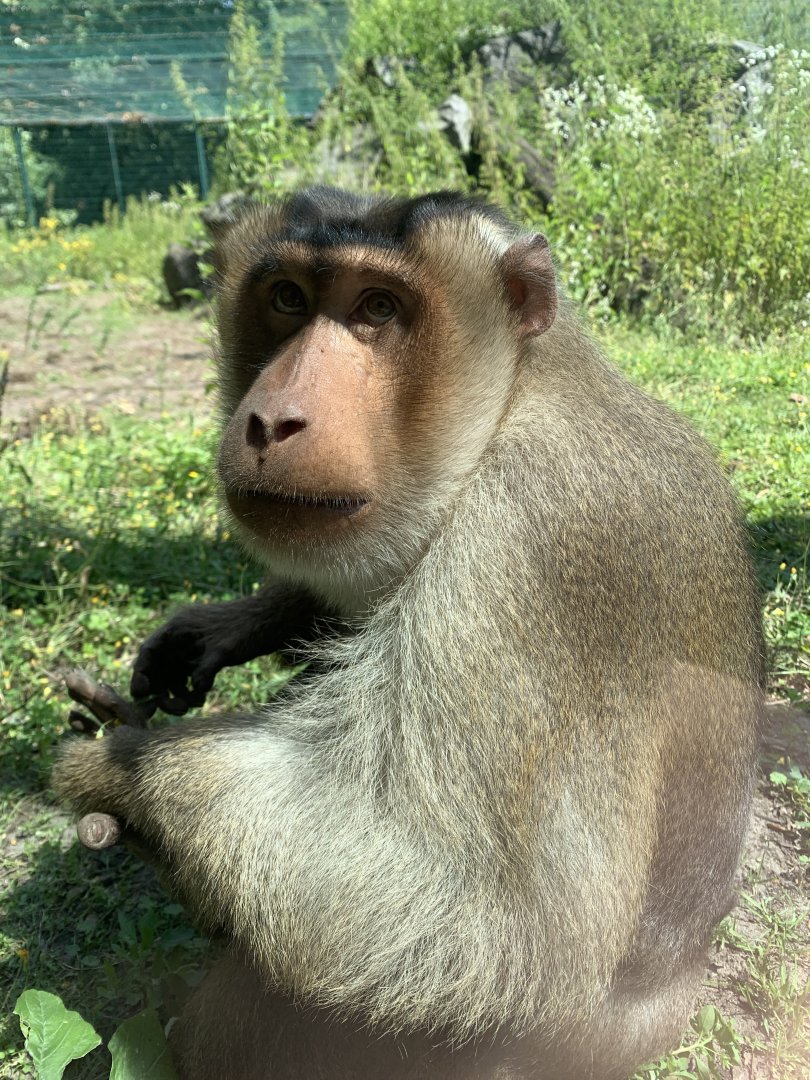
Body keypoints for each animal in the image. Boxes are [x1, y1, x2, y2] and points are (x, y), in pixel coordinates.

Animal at [53, 187, 764, 1080]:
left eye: (378, 309)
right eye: (287, 298)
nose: (272, 419)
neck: (512, 401)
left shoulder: (531, 539)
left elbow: (492, 925)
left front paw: (120, 768)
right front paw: (215, 631)